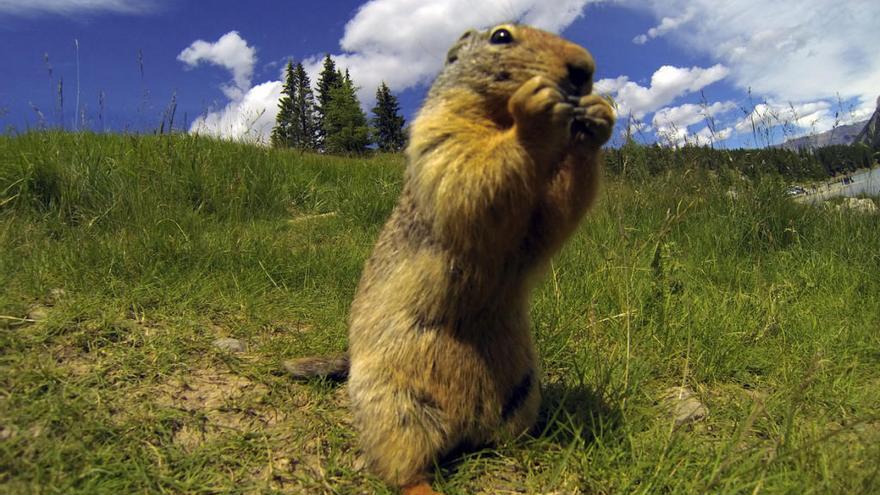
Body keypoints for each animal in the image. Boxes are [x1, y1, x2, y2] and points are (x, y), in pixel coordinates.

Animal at [286, 23, 616, 495]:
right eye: (501, 36)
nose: (584, 68)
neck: (499, 119)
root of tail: (467, 430)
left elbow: (550, 215)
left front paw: (598, 116)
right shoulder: (440, 129)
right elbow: (466, 169)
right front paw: (535, 110)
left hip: (524, 390)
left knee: (505, 436)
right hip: (394, 405)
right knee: (402, 464)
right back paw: (422, 483)